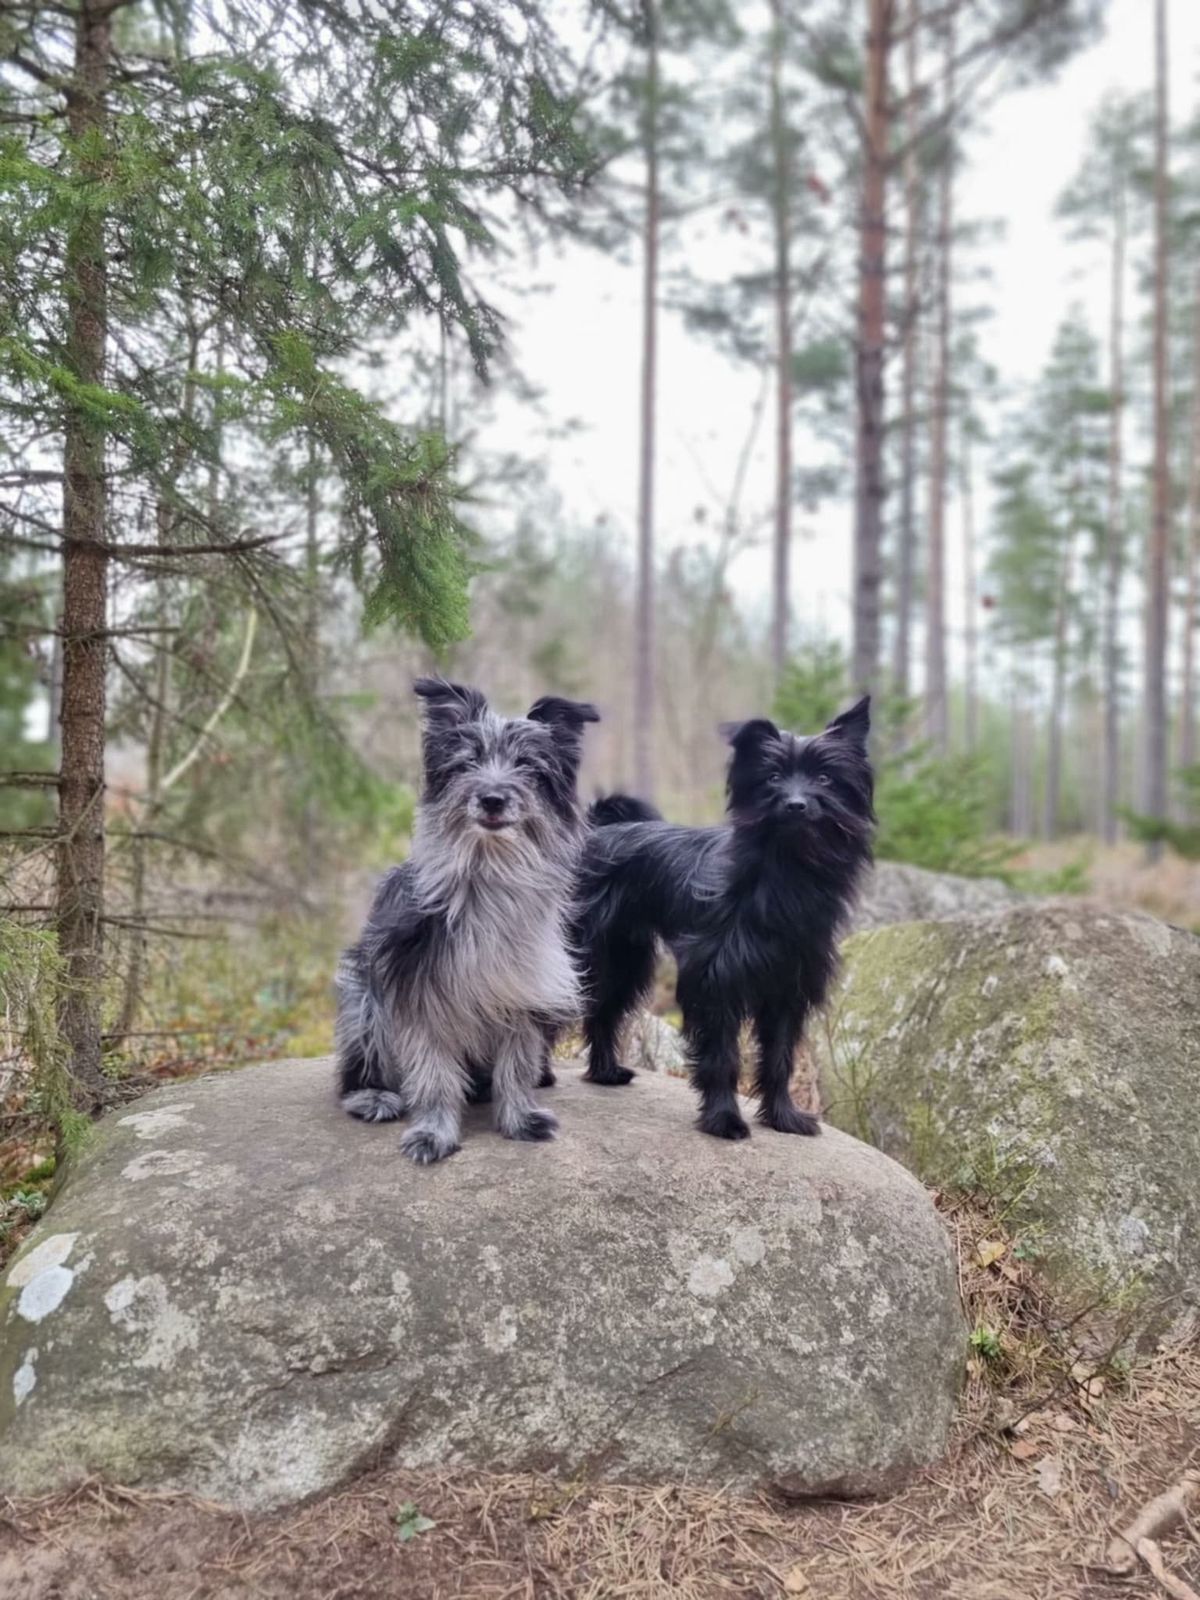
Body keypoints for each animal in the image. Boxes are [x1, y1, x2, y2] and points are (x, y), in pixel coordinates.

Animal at [335, 677, 599, 1164]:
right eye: (468, 762)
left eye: (527, 766)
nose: (492, 798)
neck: (488, 873)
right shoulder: (420, 994)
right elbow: (434, 1075)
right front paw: (434, 1131)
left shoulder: (526, 991)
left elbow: (516, 1065)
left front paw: (518, 1118)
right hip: (362, 1004)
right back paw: (372, 1095)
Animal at [574, 697, 874, 1141]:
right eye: (772, 777)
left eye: (824, 777)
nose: (796, 804)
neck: (785, 873)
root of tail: (595, 833)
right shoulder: (716, 984)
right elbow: (722, 1057)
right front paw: (724, 1119)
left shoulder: (787, 990)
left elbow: (779, 1059)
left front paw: (783, 1117)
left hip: (624, 960)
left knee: (603, 1011)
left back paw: (604, 1072)